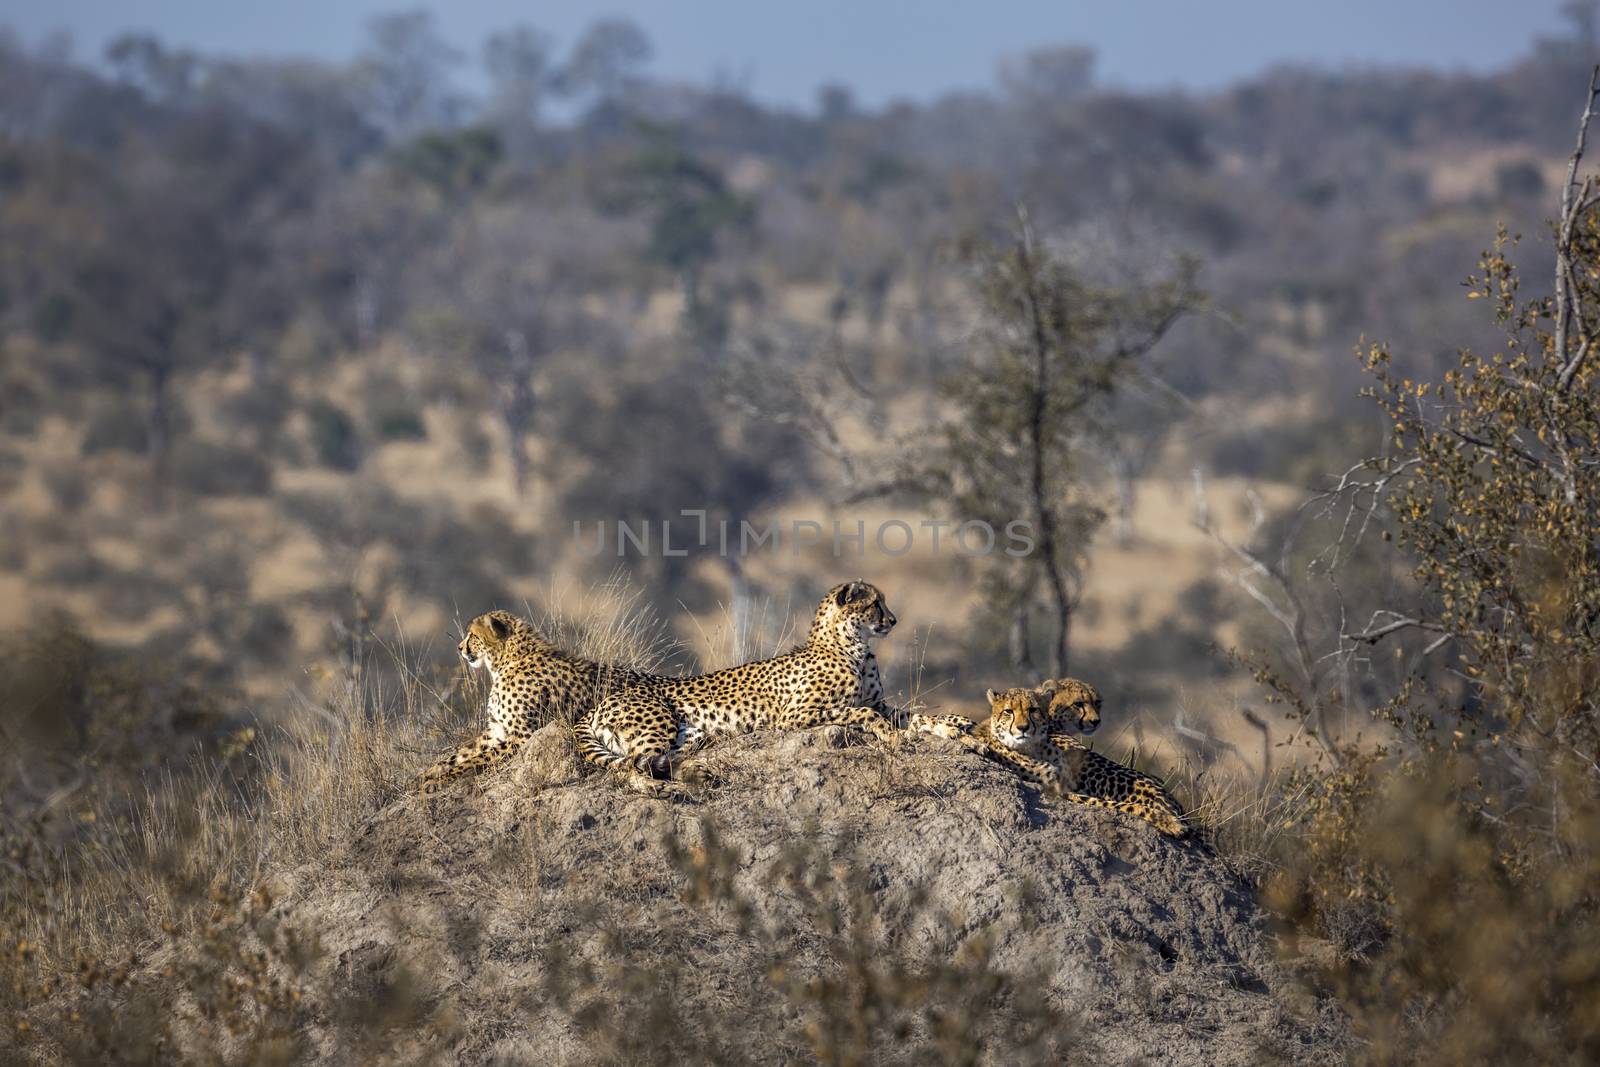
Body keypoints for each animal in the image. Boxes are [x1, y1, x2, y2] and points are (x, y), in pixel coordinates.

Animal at [419, 607, 662, 793]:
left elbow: (474, 760)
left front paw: (437, 781)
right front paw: (426, 775)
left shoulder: (522, 737)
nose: (460, 648)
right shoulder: (495, 731)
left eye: (473, 635)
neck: (507, 660)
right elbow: (458, 754)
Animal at [576, 579, 902, 780]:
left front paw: (910, 729)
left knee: (659, 761)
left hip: (689, 735)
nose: (894, 620)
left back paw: (696, 770)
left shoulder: (879, 702)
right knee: (631, 768)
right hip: (658, 725)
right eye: (875, 603)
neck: (853, 645)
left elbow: (900, 713)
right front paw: (889, 734)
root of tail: (600, 703)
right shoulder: (793, 716)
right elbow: (862, 711)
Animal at [915, 681, 1190, 838]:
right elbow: (1122, 805)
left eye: (1033, 709)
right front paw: (1170, 824)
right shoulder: (1061, 789)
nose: (1023, 728)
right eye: (1009, 711)